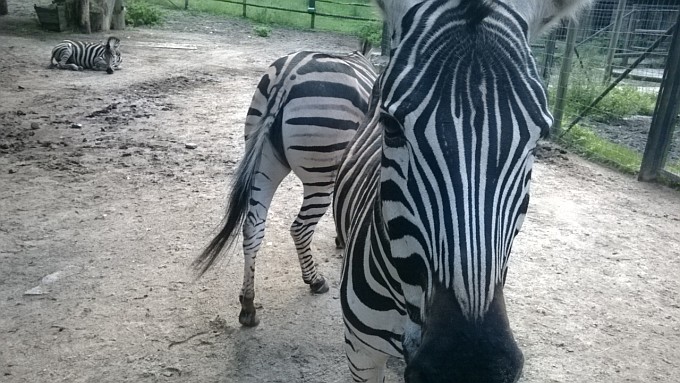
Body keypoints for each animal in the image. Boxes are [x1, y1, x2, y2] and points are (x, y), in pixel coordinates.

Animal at [194, 50, 380, 328]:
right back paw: (315, 281)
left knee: (253, 227)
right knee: (300, 228)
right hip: (320, 171)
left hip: (264, 163)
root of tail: (287, 77)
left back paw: (248, 305)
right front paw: (341, 238)